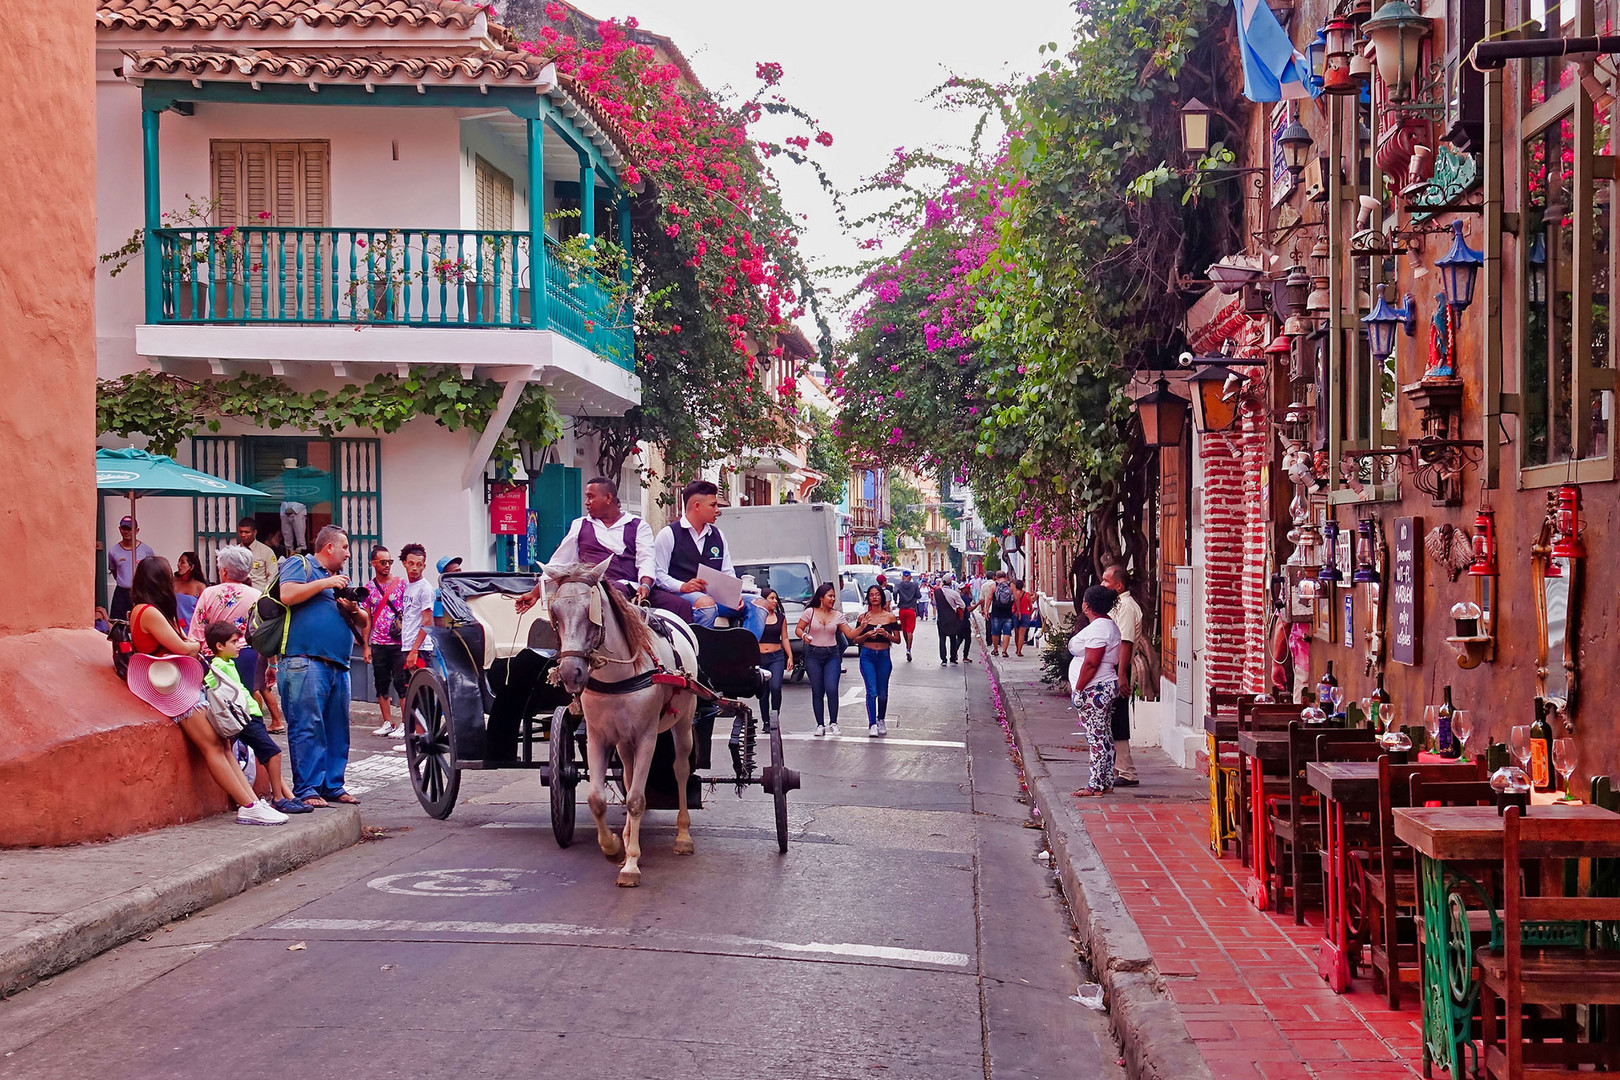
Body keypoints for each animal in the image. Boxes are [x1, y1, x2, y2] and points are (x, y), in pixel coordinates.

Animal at [541, 557, 699, 887]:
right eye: (556, 614)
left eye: (592, 613)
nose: (570, 673)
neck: (618, 678)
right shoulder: (598, 738)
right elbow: (597, 799)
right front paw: (614, 847)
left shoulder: (647, 738)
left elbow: (637, 799)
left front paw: (631, 865)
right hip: (624, 741)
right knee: (626, 774)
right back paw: (627, 837)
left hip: (683, 723)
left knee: (680, 769)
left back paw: (682, 835)